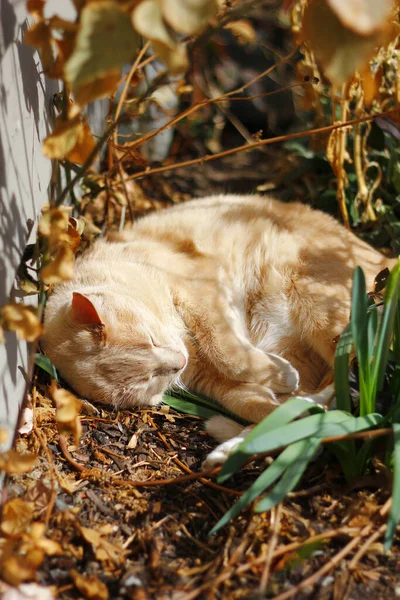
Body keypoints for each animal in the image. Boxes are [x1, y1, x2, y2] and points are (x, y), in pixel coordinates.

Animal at [42, 197, 396, 464]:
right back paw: (234, 449)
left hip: (320, 309)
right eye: (147, 379)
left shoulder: (203, 294)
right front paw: (278, 397)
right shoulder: (210, 381)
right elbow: (254, 402)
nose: (178, 363)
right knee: (318, 403)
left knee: (345, 385)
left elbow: (228, 353)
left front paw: (278, 375)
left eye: (150, 341)